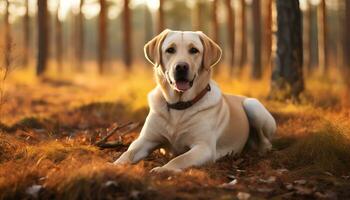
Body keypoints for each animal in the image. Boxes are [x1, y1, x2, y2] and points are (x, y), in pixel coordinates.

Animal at [114, 30, 276, 173]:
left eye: (194, 50)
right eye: (170, 50)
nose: (181, 67)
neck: (179, 105)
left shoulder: (203, 147)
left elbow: (180, 159)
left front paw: (163, 169)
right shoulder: (145, 140)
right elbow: (128, 153)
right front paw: (113, 166)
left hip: (253, 106)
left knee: (267, 142)